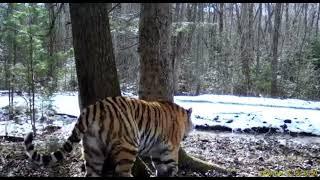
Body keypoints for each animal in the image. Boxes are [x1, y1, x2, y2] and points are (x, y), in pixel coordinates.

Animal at [23, 96, 194, 176]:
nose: (192, 129)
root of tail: (93, 108)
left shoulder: (157, 152)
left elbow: (161, 170)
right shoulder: (170, 149)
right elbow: (172, 168)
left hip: (93, 150)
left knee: (91, 173)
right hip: (128, 146)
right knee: (122, 173)